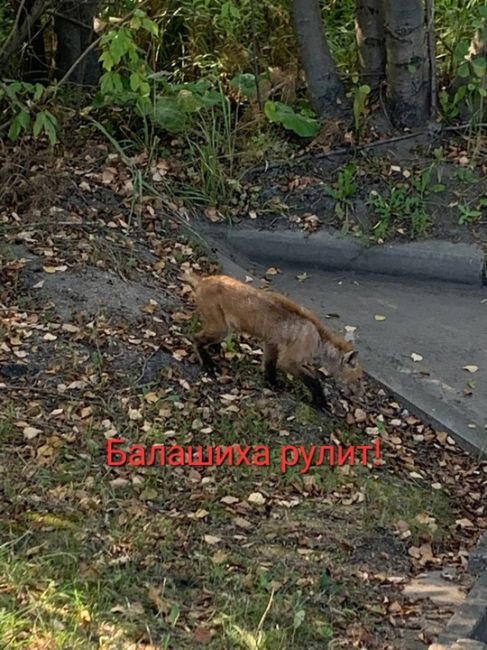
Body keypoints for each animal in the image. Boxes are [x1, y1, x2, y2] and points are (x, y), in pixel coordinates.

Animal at [185, 270, 364, 410]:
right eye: (359, 379)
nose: (359, 396)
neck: (318, 340)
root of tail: (204, 279)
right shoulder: (288, 361)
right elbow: (314, 380)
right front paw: (320, 403)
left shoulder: (272, 343)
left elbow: (270, 366)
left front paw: (271, 384)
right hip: (221, 329)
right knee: (195, 338)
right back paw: (208, 363)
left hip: (223, 328)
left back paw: (214, 350)